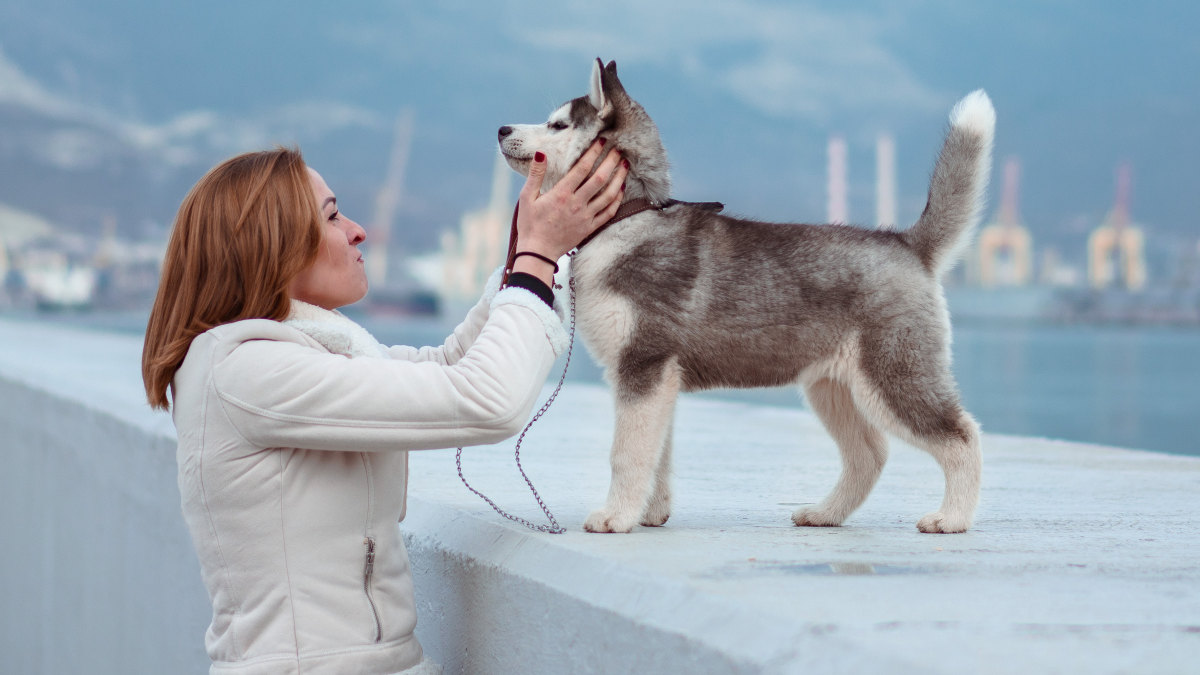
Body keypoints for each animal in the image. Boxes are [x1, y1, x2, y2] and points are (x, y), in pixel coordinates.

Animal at [496, 59, 993, 530]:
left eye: (559, 125)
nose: (501, 129)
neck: (628, 218)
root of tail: (907, 244)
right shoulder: (657, 380)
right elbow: (657, 454)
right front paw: (649, 513)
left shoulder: (643, 365)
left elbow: (628, 454)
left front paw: (615, 517)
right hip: (831, 387)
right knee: (870, 454)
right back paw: (825, 513)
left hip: (894, 377)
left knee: (962, 436)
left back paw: (952, 518)